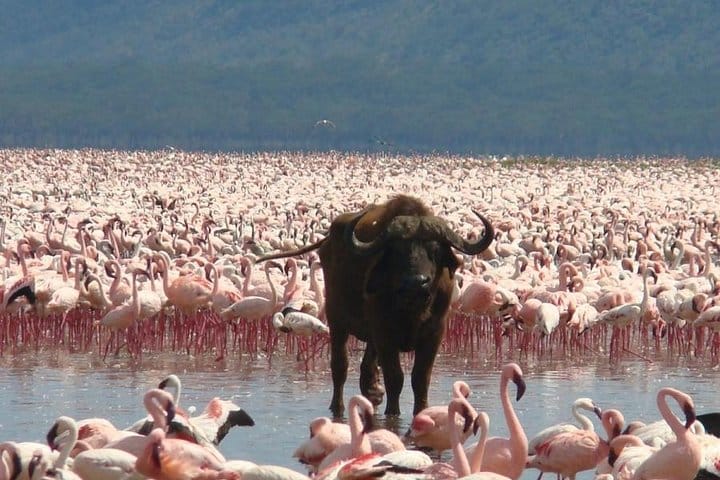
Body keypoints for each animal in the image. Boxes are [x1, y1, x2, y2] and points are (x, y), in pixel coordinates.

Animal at [258, 195, 493, 416]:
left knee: (366, 368)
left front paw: (420, 411)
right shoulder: (384, 332)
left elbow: (420, 378)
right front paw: (393, 413)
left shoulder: (434, 332)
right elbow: (395, 377)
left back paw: (372, 394)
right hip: (337, 321)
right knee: (340, 367)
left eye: (434, 249)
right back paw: (338, 406)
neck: (412, 308)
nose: (417, 282)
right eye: (398, 251)